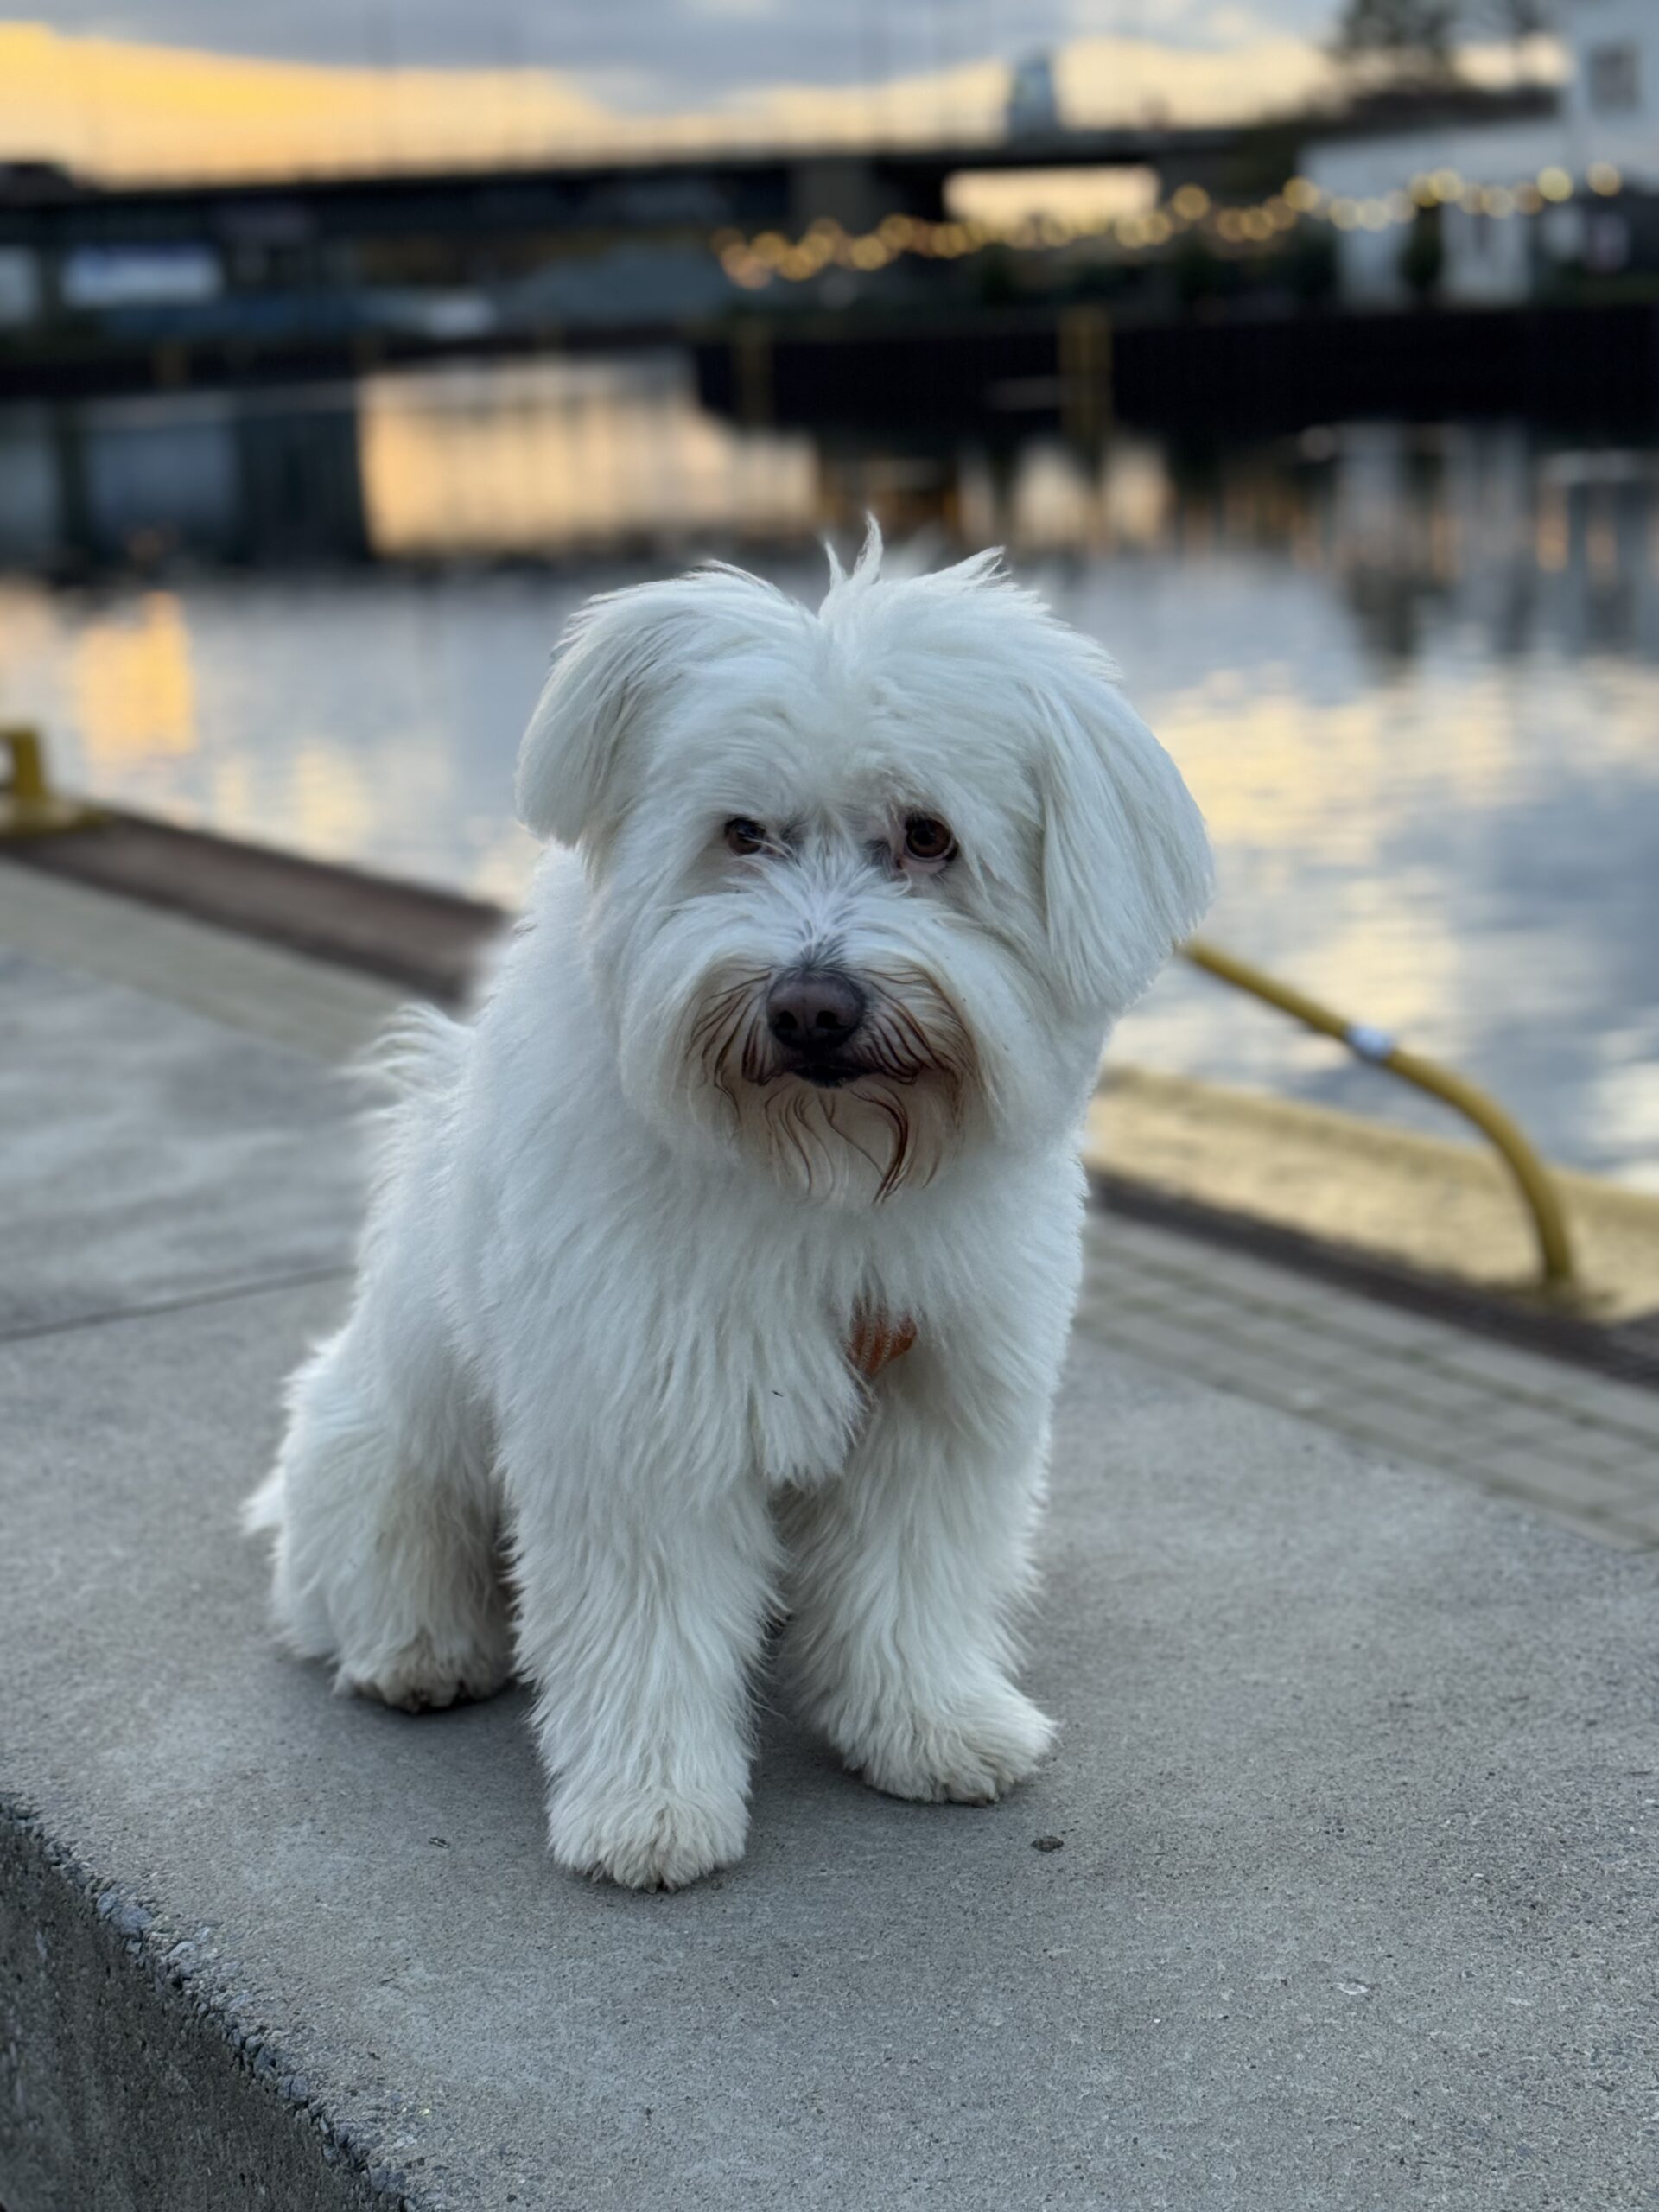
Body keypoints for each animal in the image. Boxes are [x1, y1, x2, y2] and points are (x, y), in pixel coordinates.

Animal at [247, 527, 1212, 1890]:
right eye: (743, 832)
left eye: (928, 837)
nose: (812, 1005)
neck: (825, 1171)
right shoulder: (640, 1416)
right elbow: (646, 1627)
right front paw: (650, 1812)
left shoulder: (936, 1393)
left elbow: (909, 1584)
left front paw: (931, 1726)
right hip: (385, 1445)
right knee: (375, 1560)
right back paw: (420, 1652)